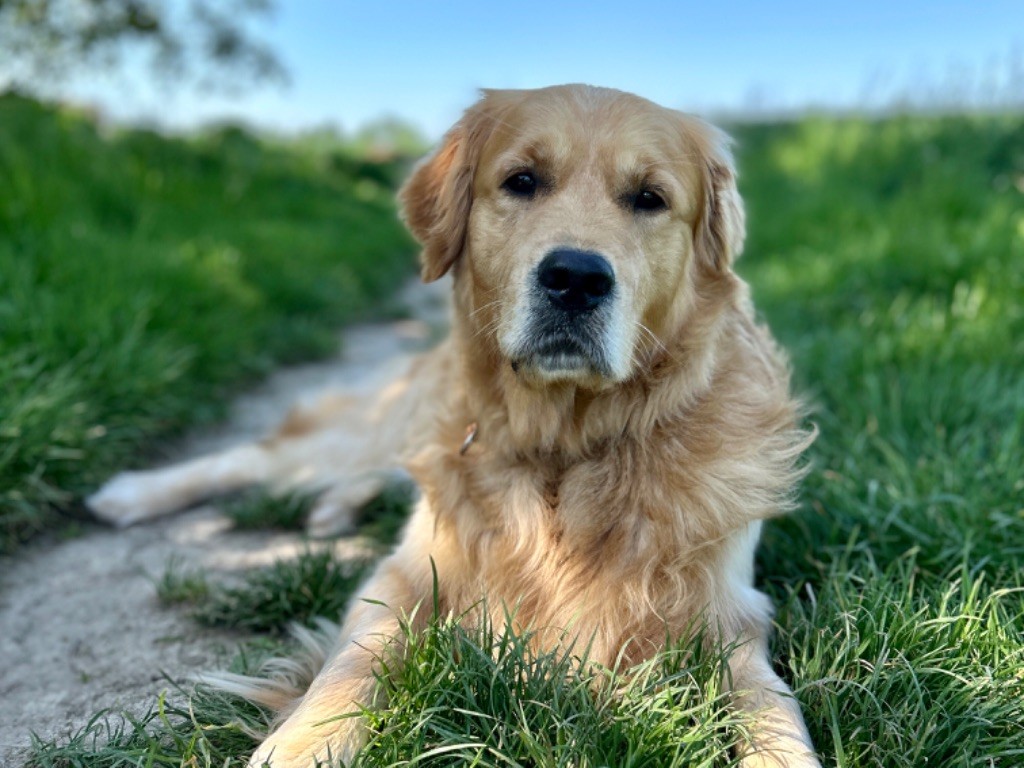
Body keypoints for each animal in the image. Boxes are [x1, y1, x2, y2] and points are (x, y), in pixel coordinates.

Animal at [90, 85, 823, 768]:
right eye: (522, 181)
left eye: (649, 198)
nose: (576, 278)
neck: (561, 453)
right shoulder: (406, 576)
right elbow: (349, 668)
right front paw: (300, 744)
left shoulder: (731, 618)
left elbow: (773, 717)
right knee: (256, 456)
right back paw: (130, 493)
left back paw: (332, 510)